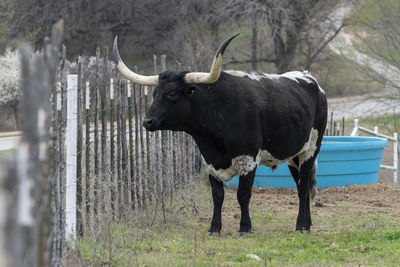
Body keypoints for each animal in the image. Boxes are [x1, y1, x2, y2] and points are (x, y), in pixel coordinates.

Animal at [112, 33, 328, 234]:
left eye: (172, 93)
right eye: (155, 93)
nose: (147, 122)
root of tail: (312, 81)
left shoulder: (248, 160)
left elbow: (243, 195)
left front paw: (244, 227)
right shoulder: (210, 162)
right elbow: (218, 196)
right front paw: (214, 228)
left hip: (311, 149)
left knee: (302, 187)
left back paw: (301, 226)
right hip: (294, 156)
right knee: (302, 186)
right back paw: (307, 223)